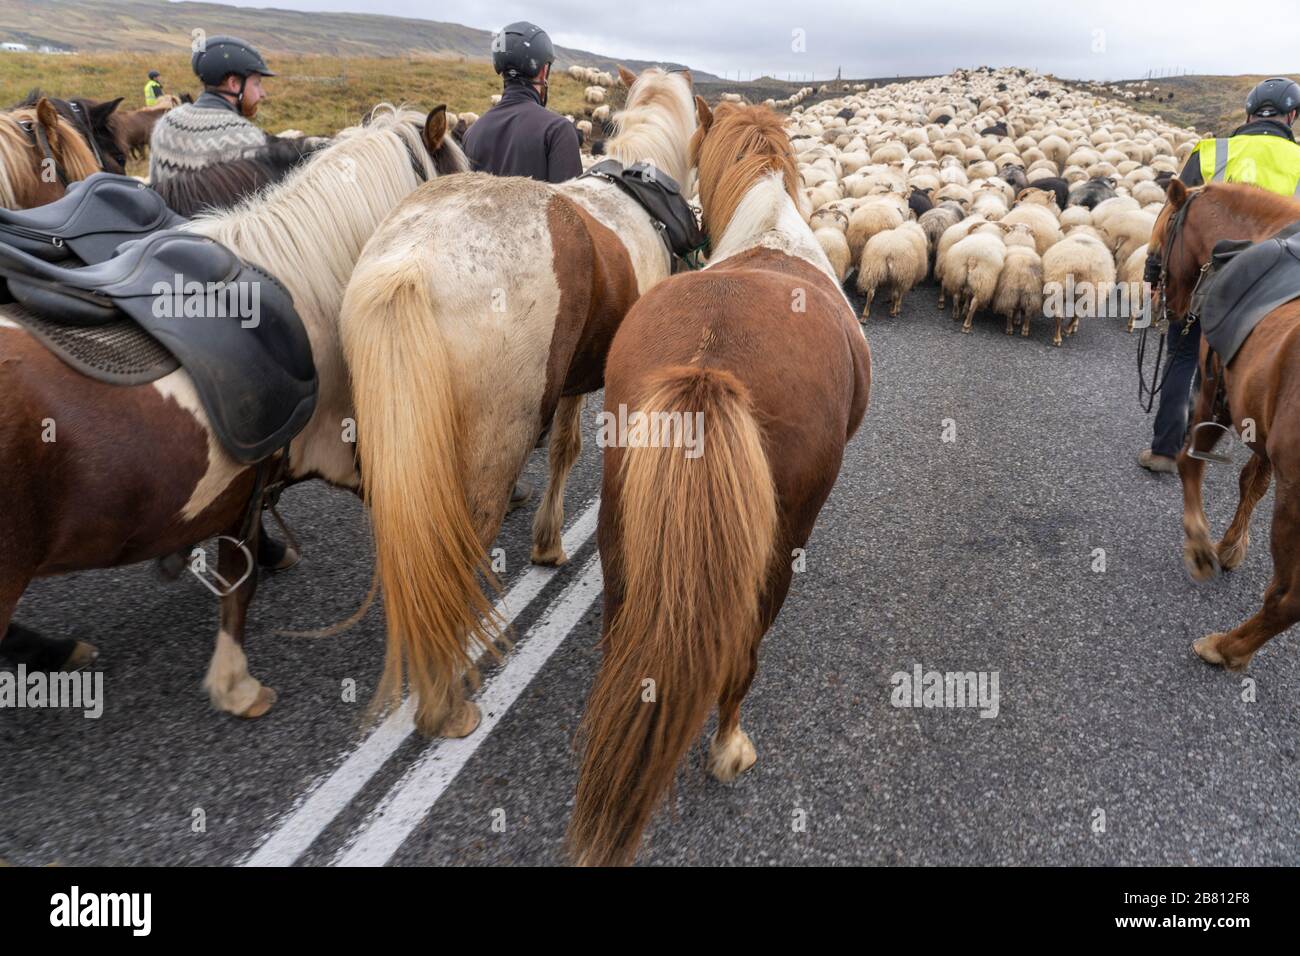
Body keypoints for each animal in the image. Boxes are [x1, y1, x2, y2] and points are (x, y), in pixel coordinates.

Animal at [340, 67, 696, 738]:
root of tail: (416, 258)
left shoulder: (575, 381)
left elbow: (562, 449)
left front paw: (546, 543)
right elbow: (573, 452)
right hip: (492, 446)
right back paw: (447, 703)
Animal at [569, 102, 873, 868]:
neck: (771, 228)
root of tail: (710, 364)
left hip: (622, 528)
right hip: (776, 547)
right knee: (742, 653)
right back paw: (729, 748)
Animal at [1149, 180, 1300, 671]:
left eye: (1164, 230)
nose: (1161, 302)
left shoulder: (1215, 392)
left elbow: (1188, 461)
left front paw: (1199, 546)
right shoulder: (1262, 424)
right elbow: (1252, 481)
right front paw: (1231, 546)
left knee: (1289, 596)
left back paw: (1228, 647)